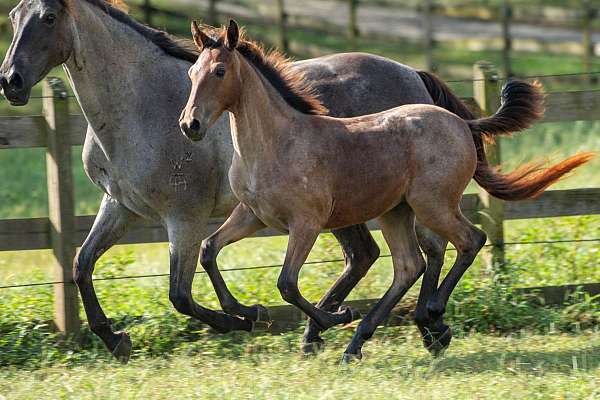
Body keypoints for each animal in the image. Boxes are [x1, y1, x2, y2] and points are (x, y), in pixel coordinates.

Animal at [180, 21, 592, 360]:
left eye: (219, 71)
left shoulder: (306, 223)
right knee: (410, 264)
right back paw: (362, 341)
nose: (190, 124)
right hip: (396, 212)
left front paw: (333, 317)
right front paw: (248, 313)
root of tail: (462, 122)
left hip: (432, 205)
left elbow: (287, 284)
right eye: (191, 72)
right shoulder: (252, 215)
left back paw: (428, 316)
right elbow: (209, 250)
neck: (277, 142)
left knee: (468, 241)